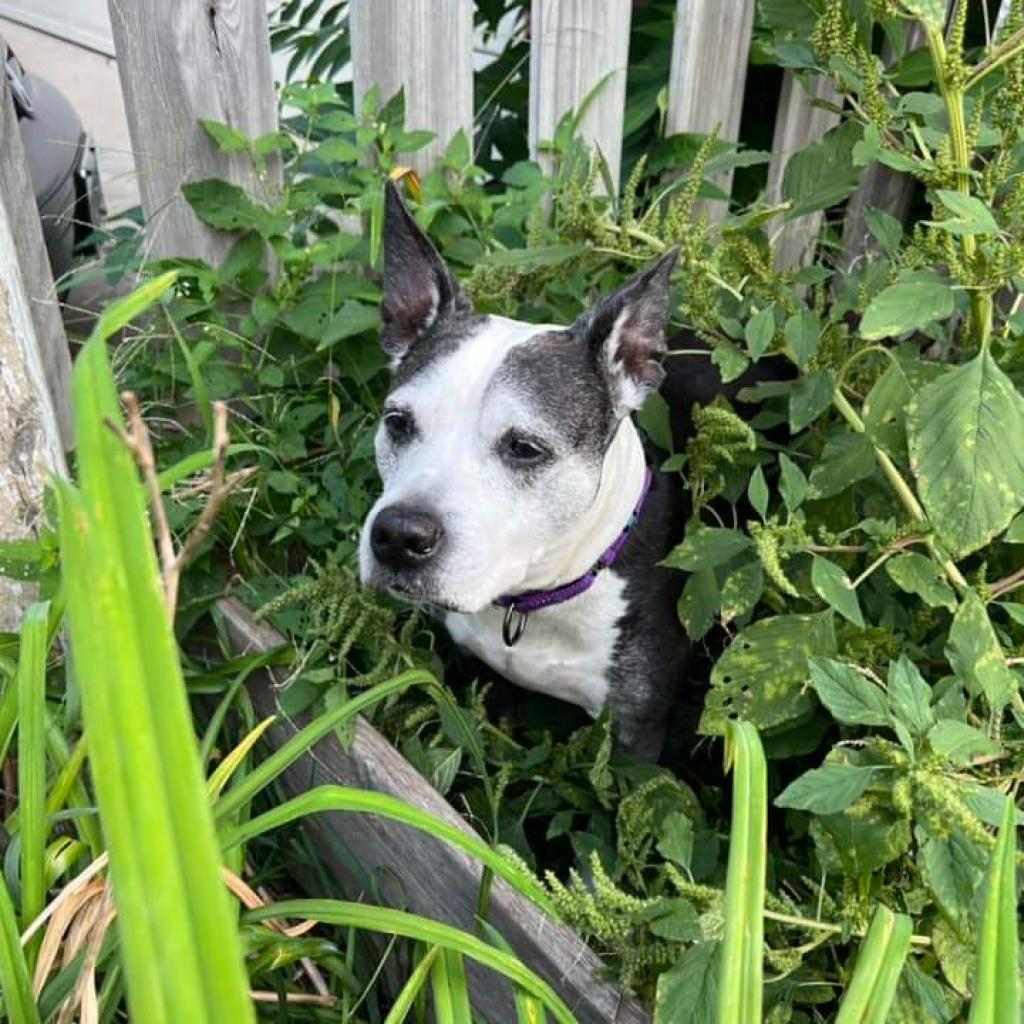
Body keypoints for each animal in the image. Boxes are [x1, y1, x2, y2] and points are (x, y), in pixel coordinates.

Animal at [360, 184, 753, 761]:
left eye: (525, 448)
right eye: (397, 423)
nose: (399, 535)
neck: (535, 601)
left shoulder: (635, 733)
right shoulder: (477, 679)